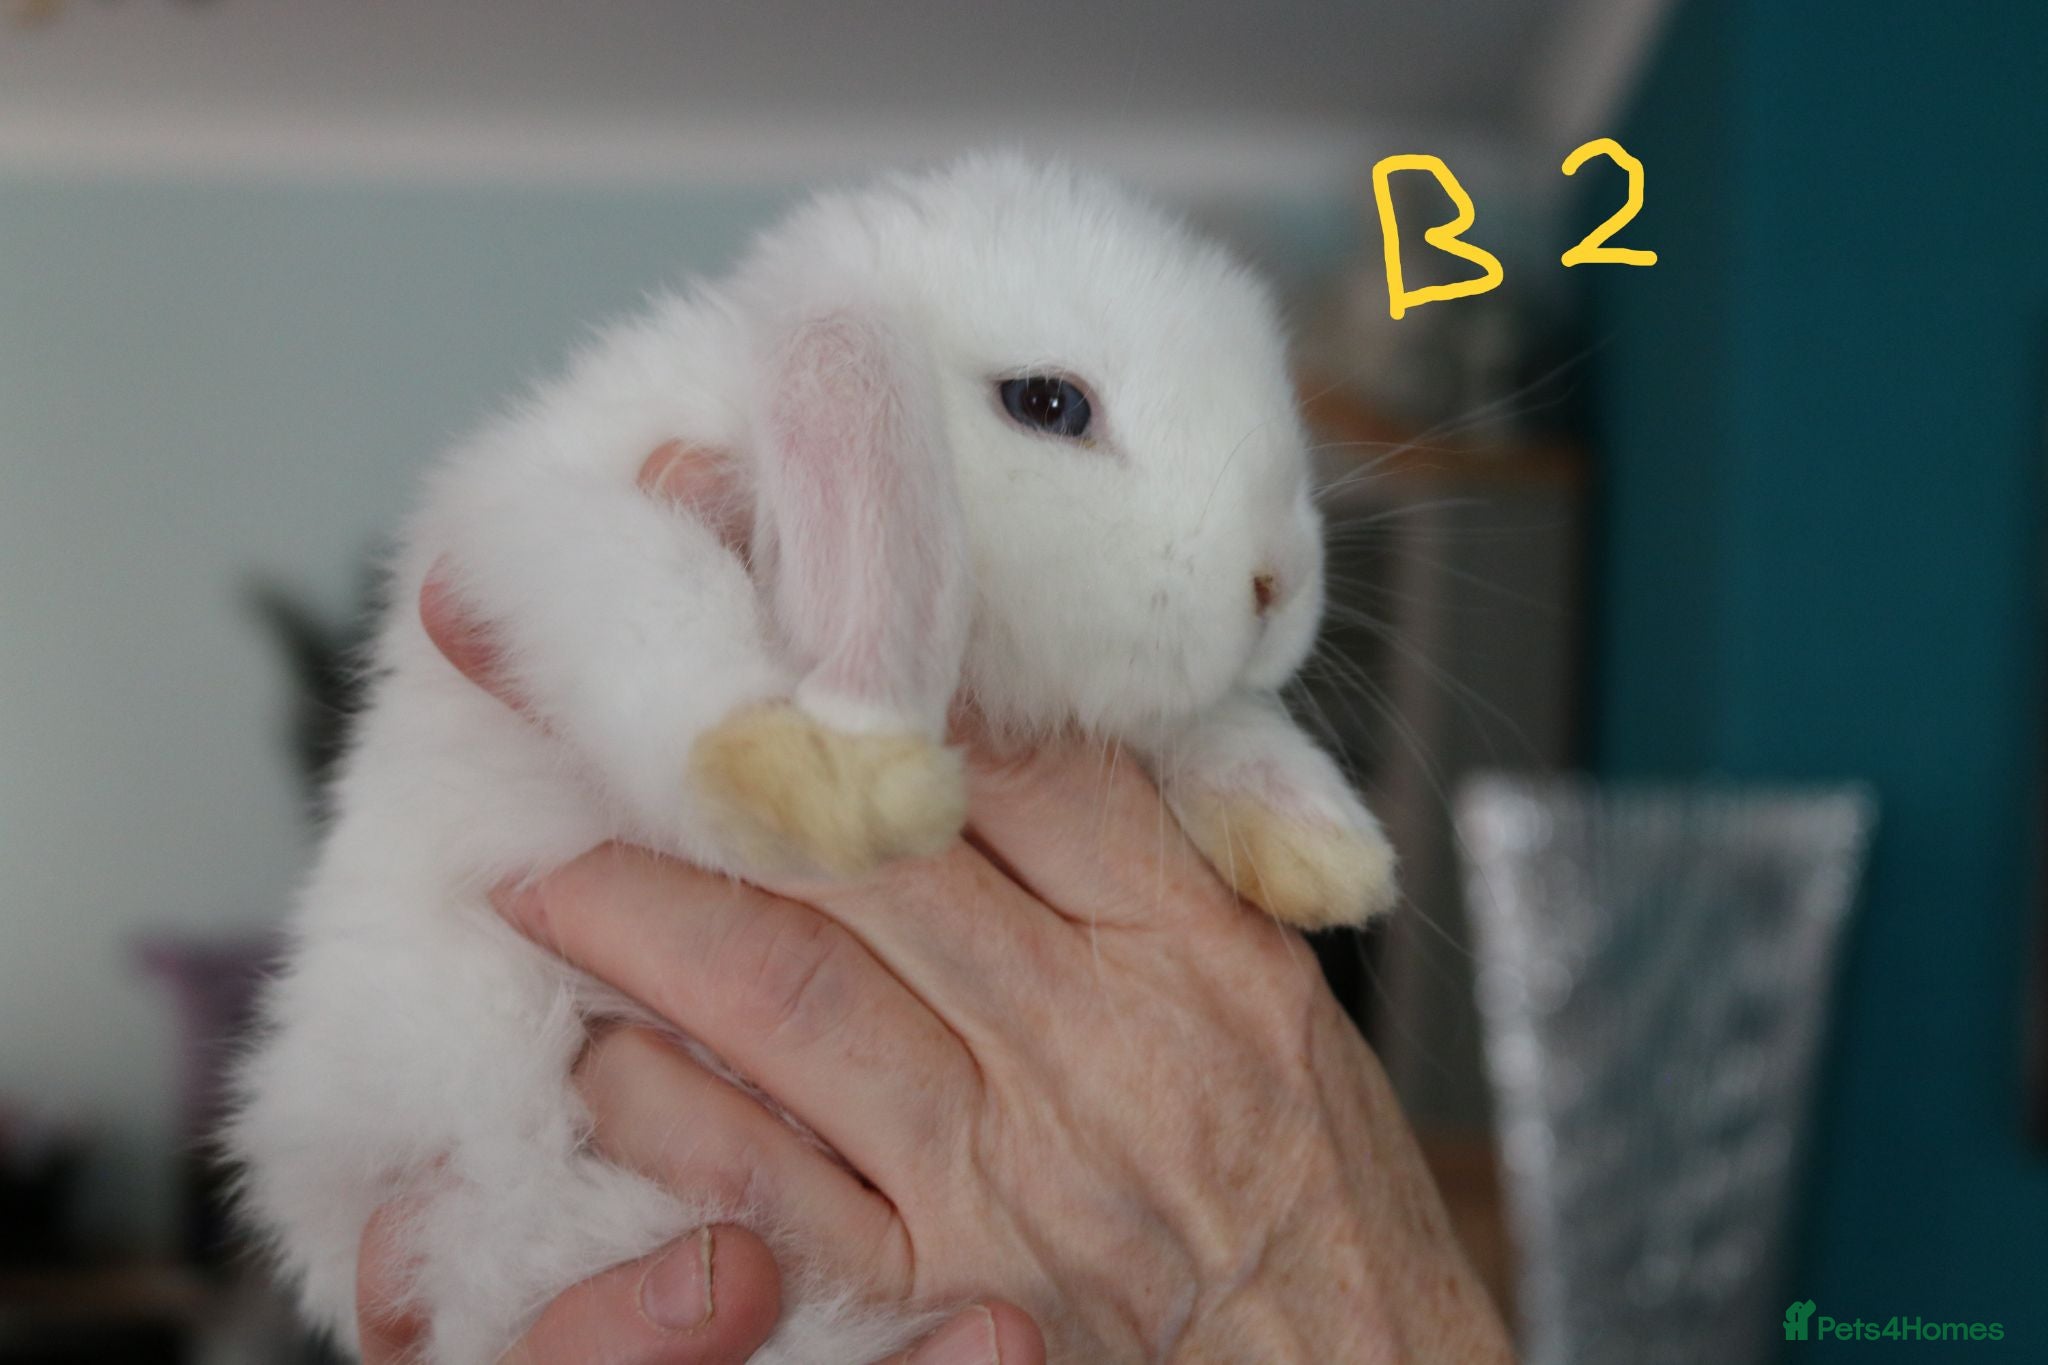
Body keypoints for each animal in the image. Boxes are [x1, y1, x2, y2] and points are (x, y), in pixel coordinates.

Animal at [228, 152, 1399, 1365]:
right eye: (1048, 404)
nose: (1276, 583)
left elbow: (1213, 725)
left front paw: (1323, 851)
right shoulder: (558, 526)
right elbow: (660, 603)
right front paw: (827, 780)